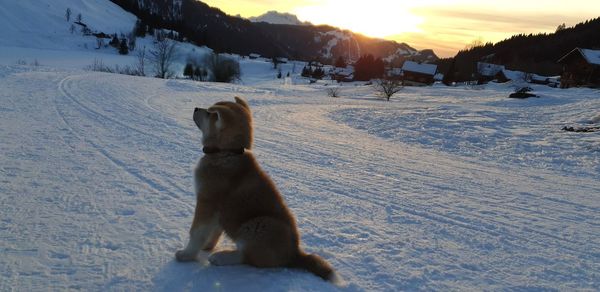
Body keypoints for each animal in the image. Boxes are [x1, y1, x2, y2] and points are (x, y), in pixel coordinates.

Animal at [175, 97, 338, 282]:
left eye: (210, 113)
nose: (196, 108)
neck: (226, 153)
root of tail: (294, 254)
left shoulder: (206, 201)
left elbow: (196, 232)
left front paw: (187, 254)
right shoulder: (218, 210)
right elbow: (213, 231)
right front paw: (207, 247)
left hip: (259, 226)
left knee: (248, 257)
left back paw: (222, 257)